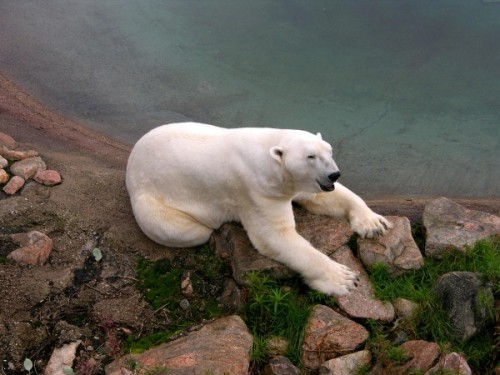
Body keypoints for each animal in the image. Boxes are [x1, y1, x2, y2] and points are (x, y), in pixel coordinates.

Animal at [125, 122, 390, 296]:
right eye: (310, 156)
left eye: (330, 151)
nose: (334, 174)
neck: (268, 155)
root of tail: (131, 162)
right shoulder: (256, 191)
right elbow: (274, 235)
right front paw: (344, 279)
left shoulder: (294, 184)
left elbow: (320, 196)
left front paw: (374, 223)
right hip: (155, 203)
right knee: (184, 230)